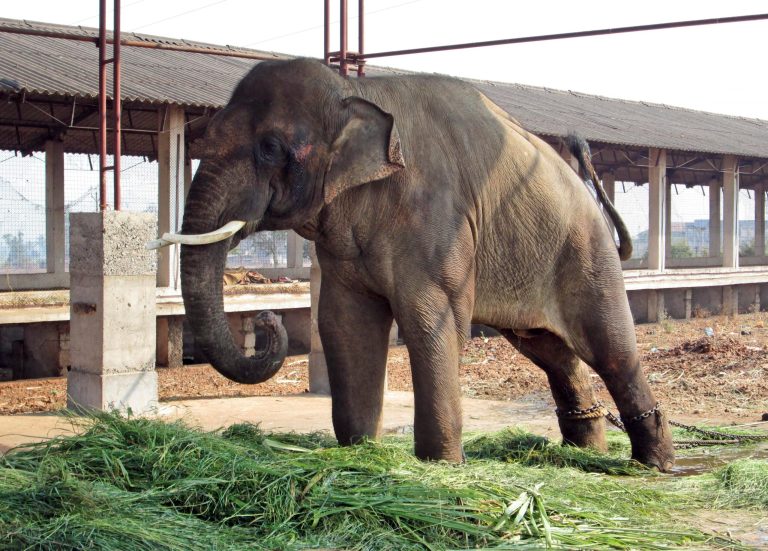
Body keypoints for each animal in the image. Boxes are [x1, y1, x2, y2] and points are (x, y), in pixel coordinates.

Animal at [174, 58, 674, 470]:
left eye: (271, 148)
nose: (266, 320)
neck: (354, 89)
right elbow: (344, 323)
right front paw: (360, 450)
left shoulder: (436, 218)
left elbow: (431, 320)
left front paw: (441, 466)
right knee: (551, 352)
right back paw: (587, 452)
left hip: (586, 255)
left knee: (611, 350)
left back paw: (657, 464)